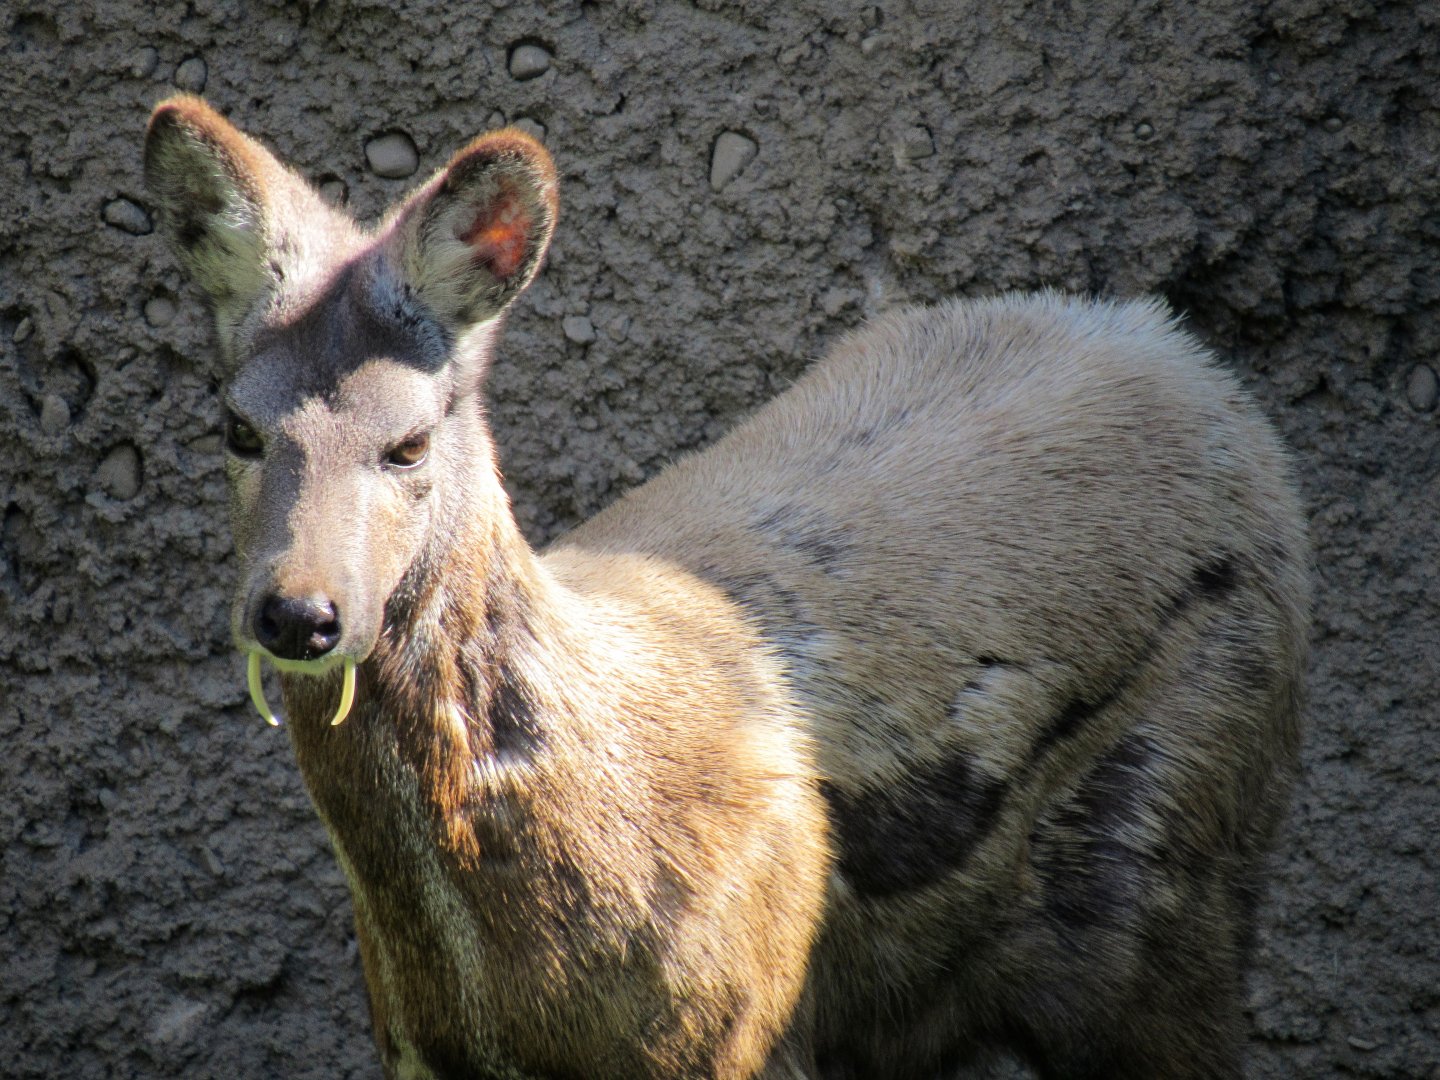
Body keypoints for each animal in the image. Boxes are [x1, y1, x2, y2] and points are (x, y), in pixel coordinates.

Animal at [142, 95, 1309, 1080]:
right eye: (236, 428)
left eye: (410, 441)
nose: (299, 612)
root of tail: (1184, 358)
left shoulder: (742, 1027)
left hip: (1177, 875)